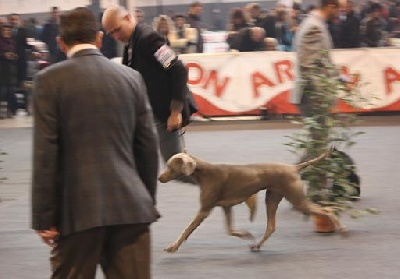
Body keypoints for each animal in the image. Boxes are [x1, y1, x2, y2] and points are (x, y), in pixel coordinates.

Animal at [159, 151, 346, 254]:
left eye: (170, 167)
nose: (159, 178)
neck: (204, 172)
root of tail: (294, 167)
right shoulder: (226, 207)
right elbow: (230, 230)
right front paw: (245, 234)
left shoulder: (205, 210)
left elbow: (186, 230)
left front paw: (173, 247)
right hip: (272, 199)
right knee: (271, 227)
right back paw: (256, 245)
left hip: (297, 201)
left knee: (328, 210)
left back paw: (342, 229)